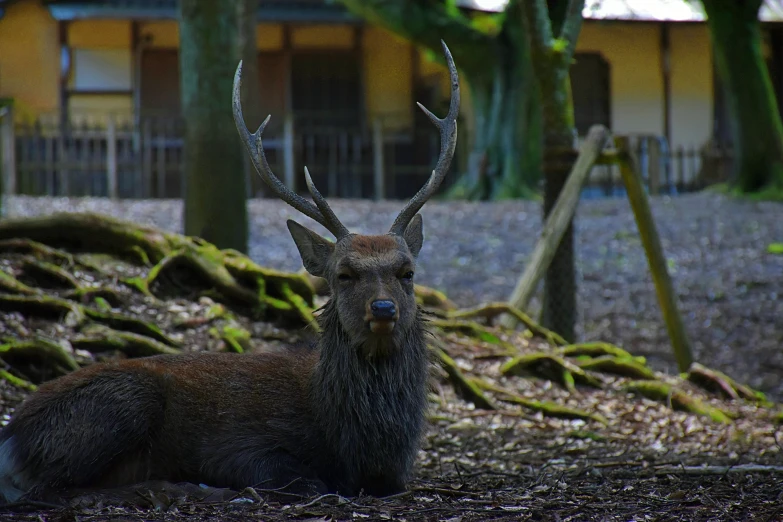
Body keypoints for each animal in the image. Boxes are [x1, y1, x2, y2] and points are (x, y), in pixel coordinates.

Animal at [0, 38, 460, 502]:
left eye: (407, 272)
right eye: (343, 274)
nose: (383, 309)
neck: (351, 442)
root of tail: (11, 438)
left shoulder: (397, 474)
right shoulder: (244, 444)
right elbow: (299, 478)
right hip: (124, 400)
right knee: (59, 489)